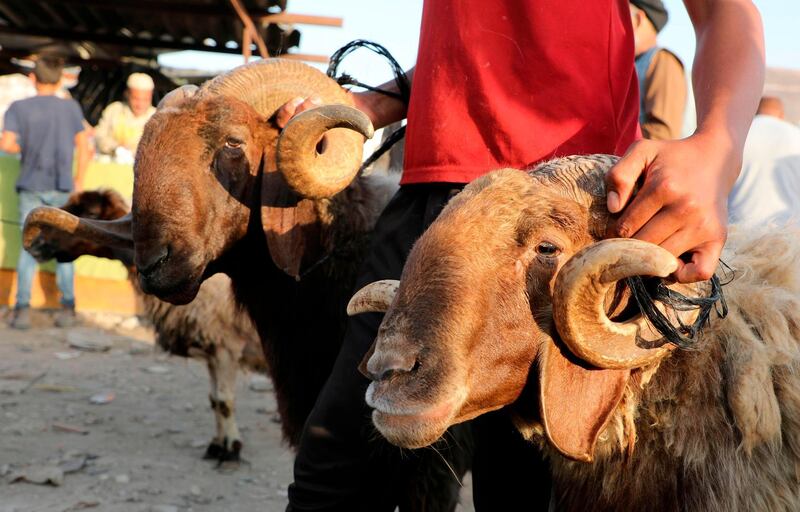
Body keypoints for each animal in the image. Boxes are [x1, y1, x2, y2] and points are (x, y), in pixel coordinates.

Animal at [22, 190, 262, 462]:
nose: (37, 243)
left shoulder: (225, 347)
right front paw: (216, 445)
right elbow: (213, 400)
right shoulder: (211, 351)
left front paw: (230, 449)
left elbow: (224, 401)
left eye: (91, 212)